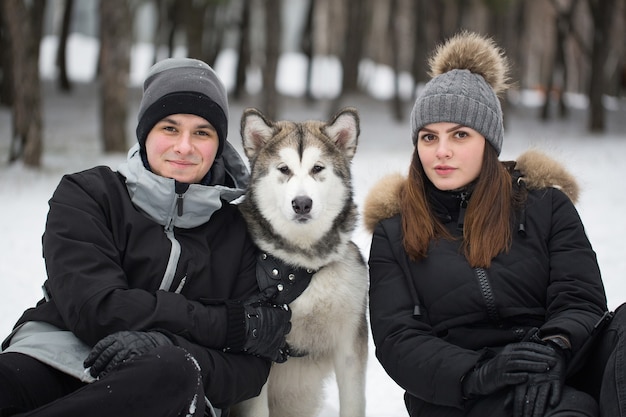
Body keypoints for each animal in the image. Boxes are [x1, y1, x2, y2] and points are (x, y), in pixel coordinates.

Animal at [229, 108, 366, 416]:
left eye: (317, 169)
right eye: (284, 169)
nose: (302, 203)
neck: (304, 263)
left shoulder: (350, 344)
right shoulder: (262, 344)